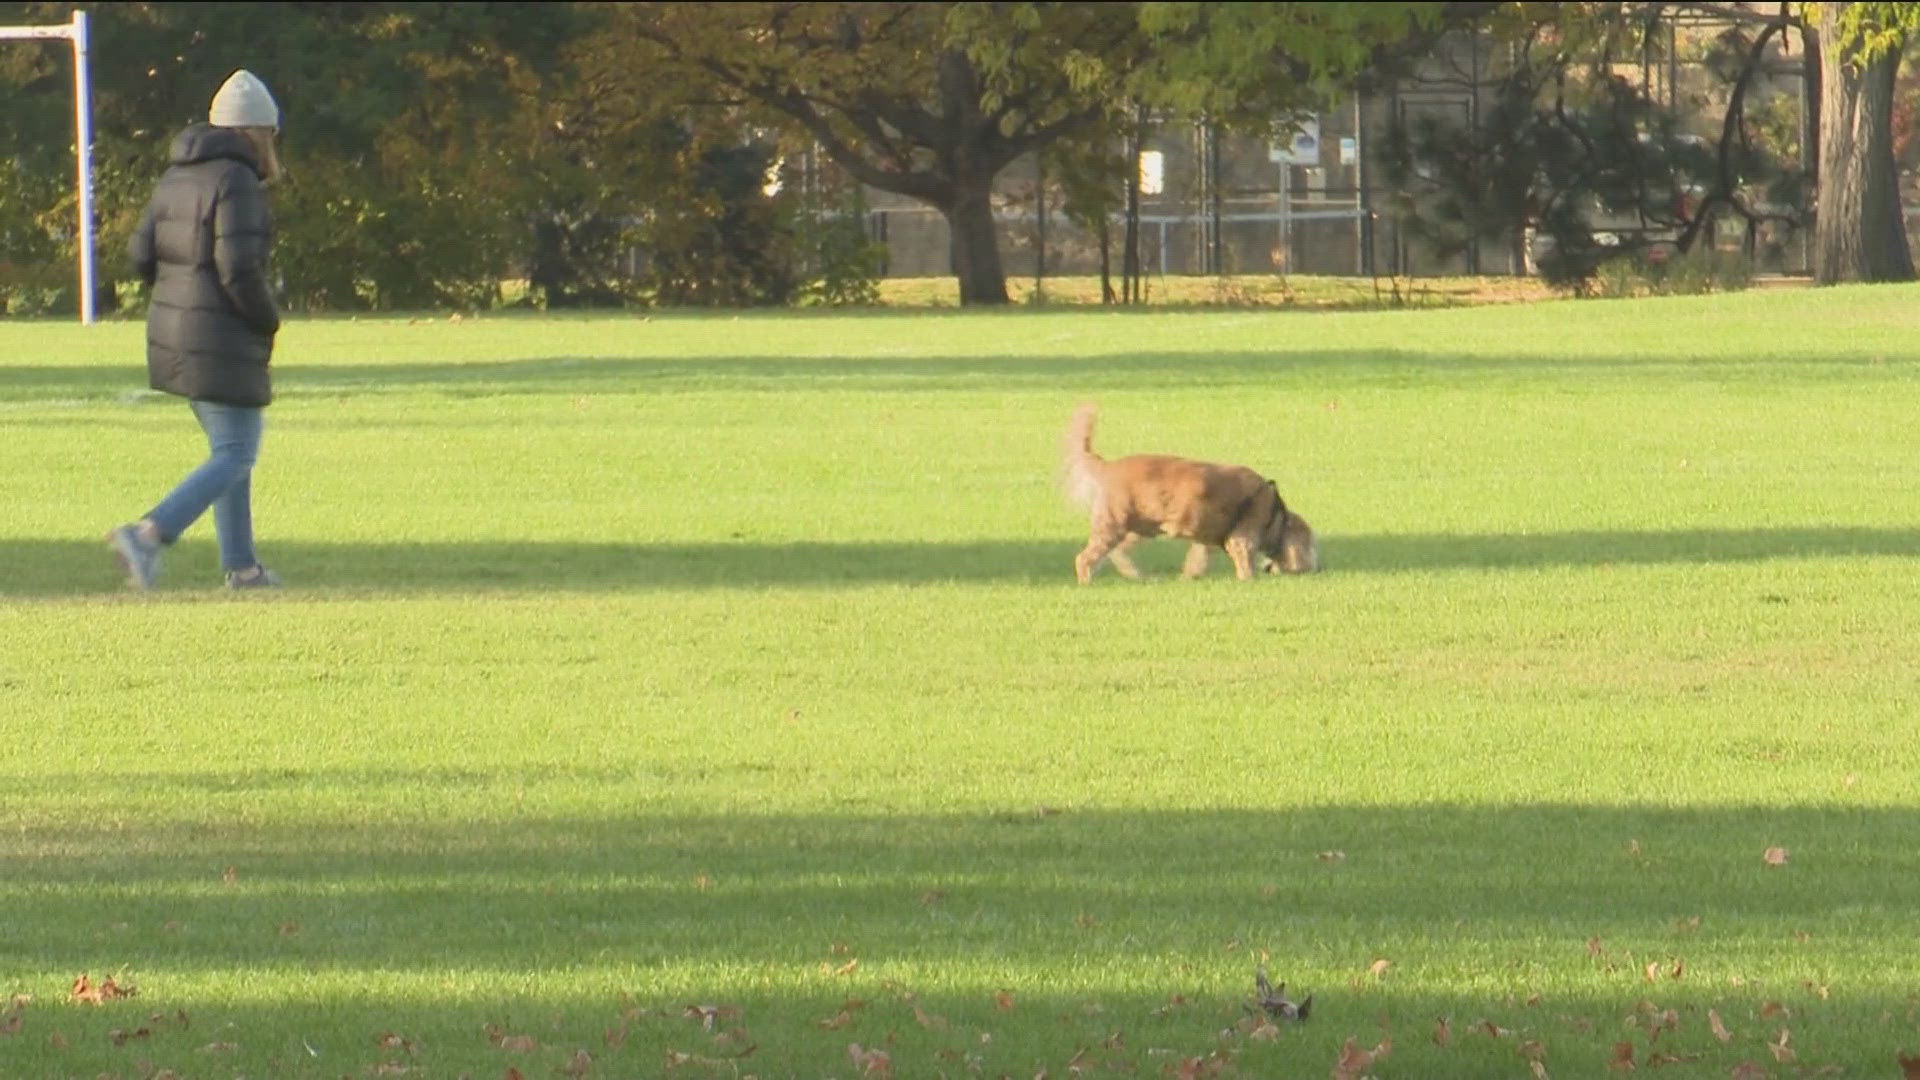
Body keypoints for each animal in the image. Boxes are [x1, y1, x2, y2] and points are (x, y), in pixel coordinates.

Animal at [1067, 401, 1320, 580]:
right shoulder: (1243, 535)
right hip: (1112, 525)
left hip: (1138, 528)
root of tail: (1107, 467)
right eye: (1309, 544)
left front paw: (1189, 577)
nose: (1316, 568)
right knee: (1084, 558)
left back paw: (1137, 575)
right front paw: (1248, 579)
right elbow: (1244, 561)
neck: (1274, 513)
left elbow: (1197, 560)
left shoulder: (1205, 542)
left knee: (1118, 553)